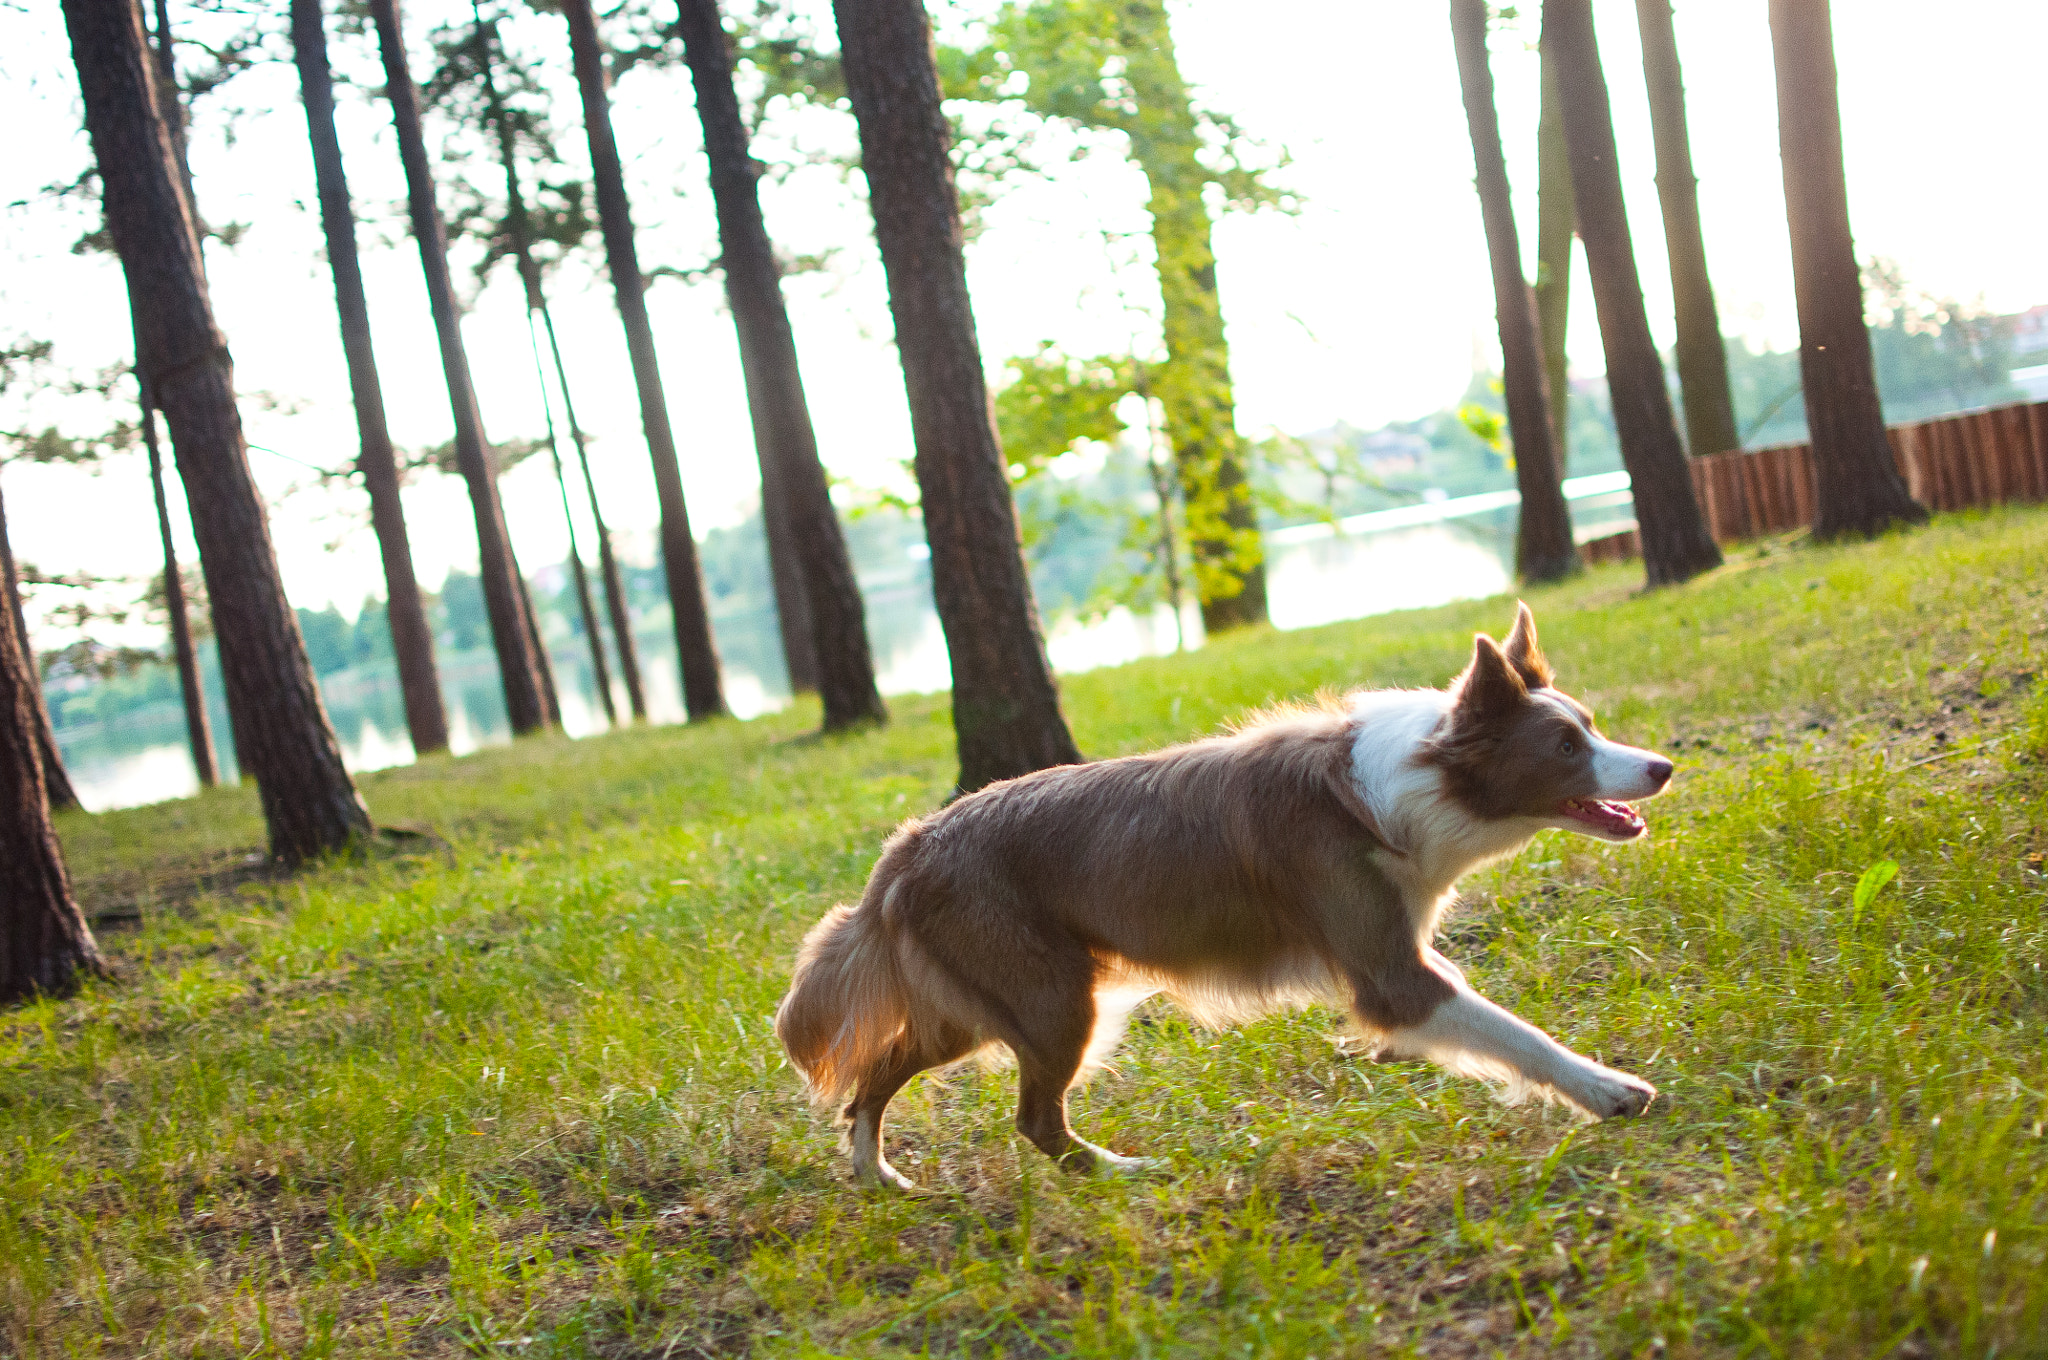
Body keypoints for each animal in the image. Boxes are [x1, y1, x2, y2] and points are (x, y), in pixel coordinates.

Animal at [774, 606, 1671, 1187]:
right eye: (1565, 745)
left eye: (1591, 725)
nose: (1661, 766)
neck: (1415, 782)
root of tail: (907, 847)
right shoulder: (1394, 977)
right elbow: (1514, 1034)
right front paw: (1607, 1090)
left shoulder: (1401, 955)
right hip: (1054, 1000)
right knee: (1034, 1120)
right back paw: (1122, 1173)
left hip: (980, 1005)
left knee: (876, 1075)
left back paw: (876, 1176)